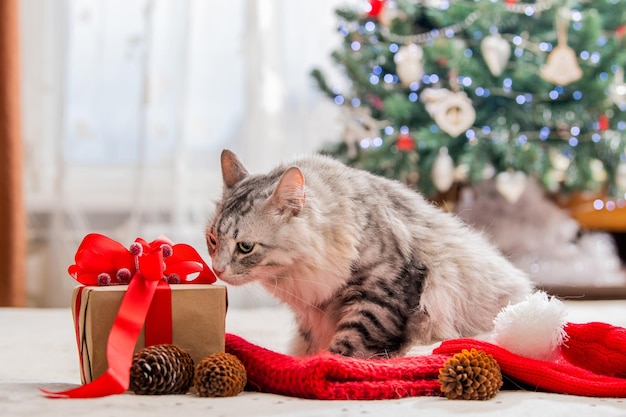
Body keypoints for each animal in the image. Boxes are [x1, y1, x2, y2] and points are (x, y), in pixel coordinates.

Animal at [206, 150, 532, 358]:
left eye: (245, 247)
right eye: (212, 240)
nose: (217, 270)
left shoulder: (382, 293)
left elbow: (352, 341)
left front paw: (326, 364)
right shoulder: (311, 312)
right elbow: (308, 344)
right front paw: (307, 360)